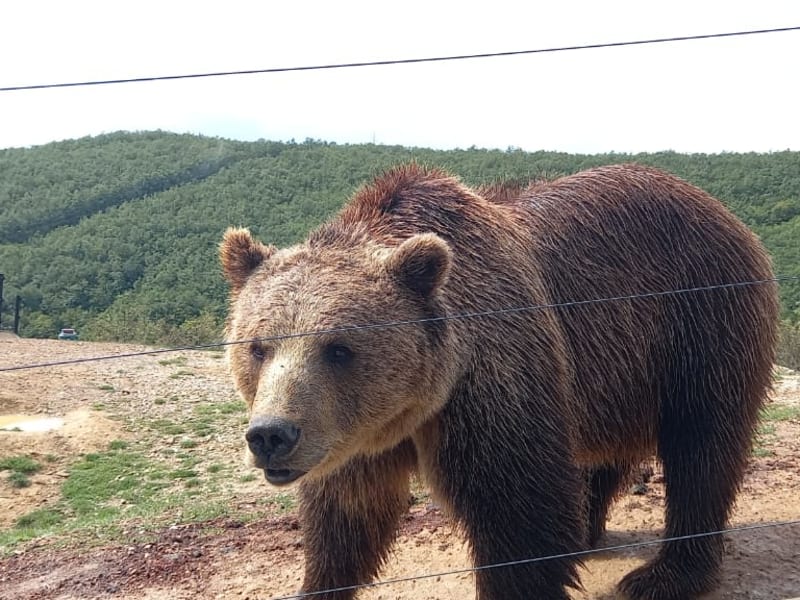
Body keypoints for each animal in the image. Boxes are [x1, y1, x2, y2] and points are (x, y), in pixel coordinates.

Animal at [220, 163, 779, 600]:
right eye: (258, 346)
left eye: (338, 348)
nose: (271, 435)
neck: (418, 405)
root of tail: (719, 207)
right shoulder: (351, 435)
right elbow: (345, 519)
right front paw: (316, 585)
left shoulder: (492, 383)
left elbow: (518, 515)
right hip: (612, 371)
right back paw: (585, 530)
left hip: (699, 320)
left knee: (701, 447)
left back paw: (663, 575)